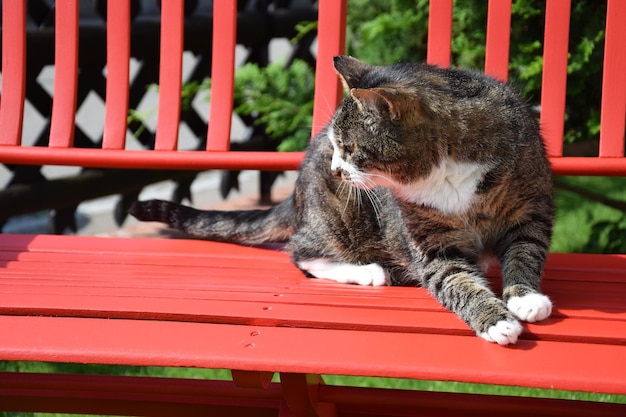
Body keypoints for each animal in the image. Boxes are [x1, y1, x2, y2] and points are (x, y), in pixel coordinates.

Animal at [130, 55, 552, 344]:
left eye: (348, 147)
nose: (336, 168)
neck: (449, 168)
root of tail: (298, 190)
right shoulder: (429, 239)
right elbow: (455, 279)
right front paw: (494, 319)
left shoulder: (530, 207)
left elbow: (525, 250)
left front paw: (525, 297)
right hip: (337, 217)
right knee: (300, 252)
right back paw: (367, 272)